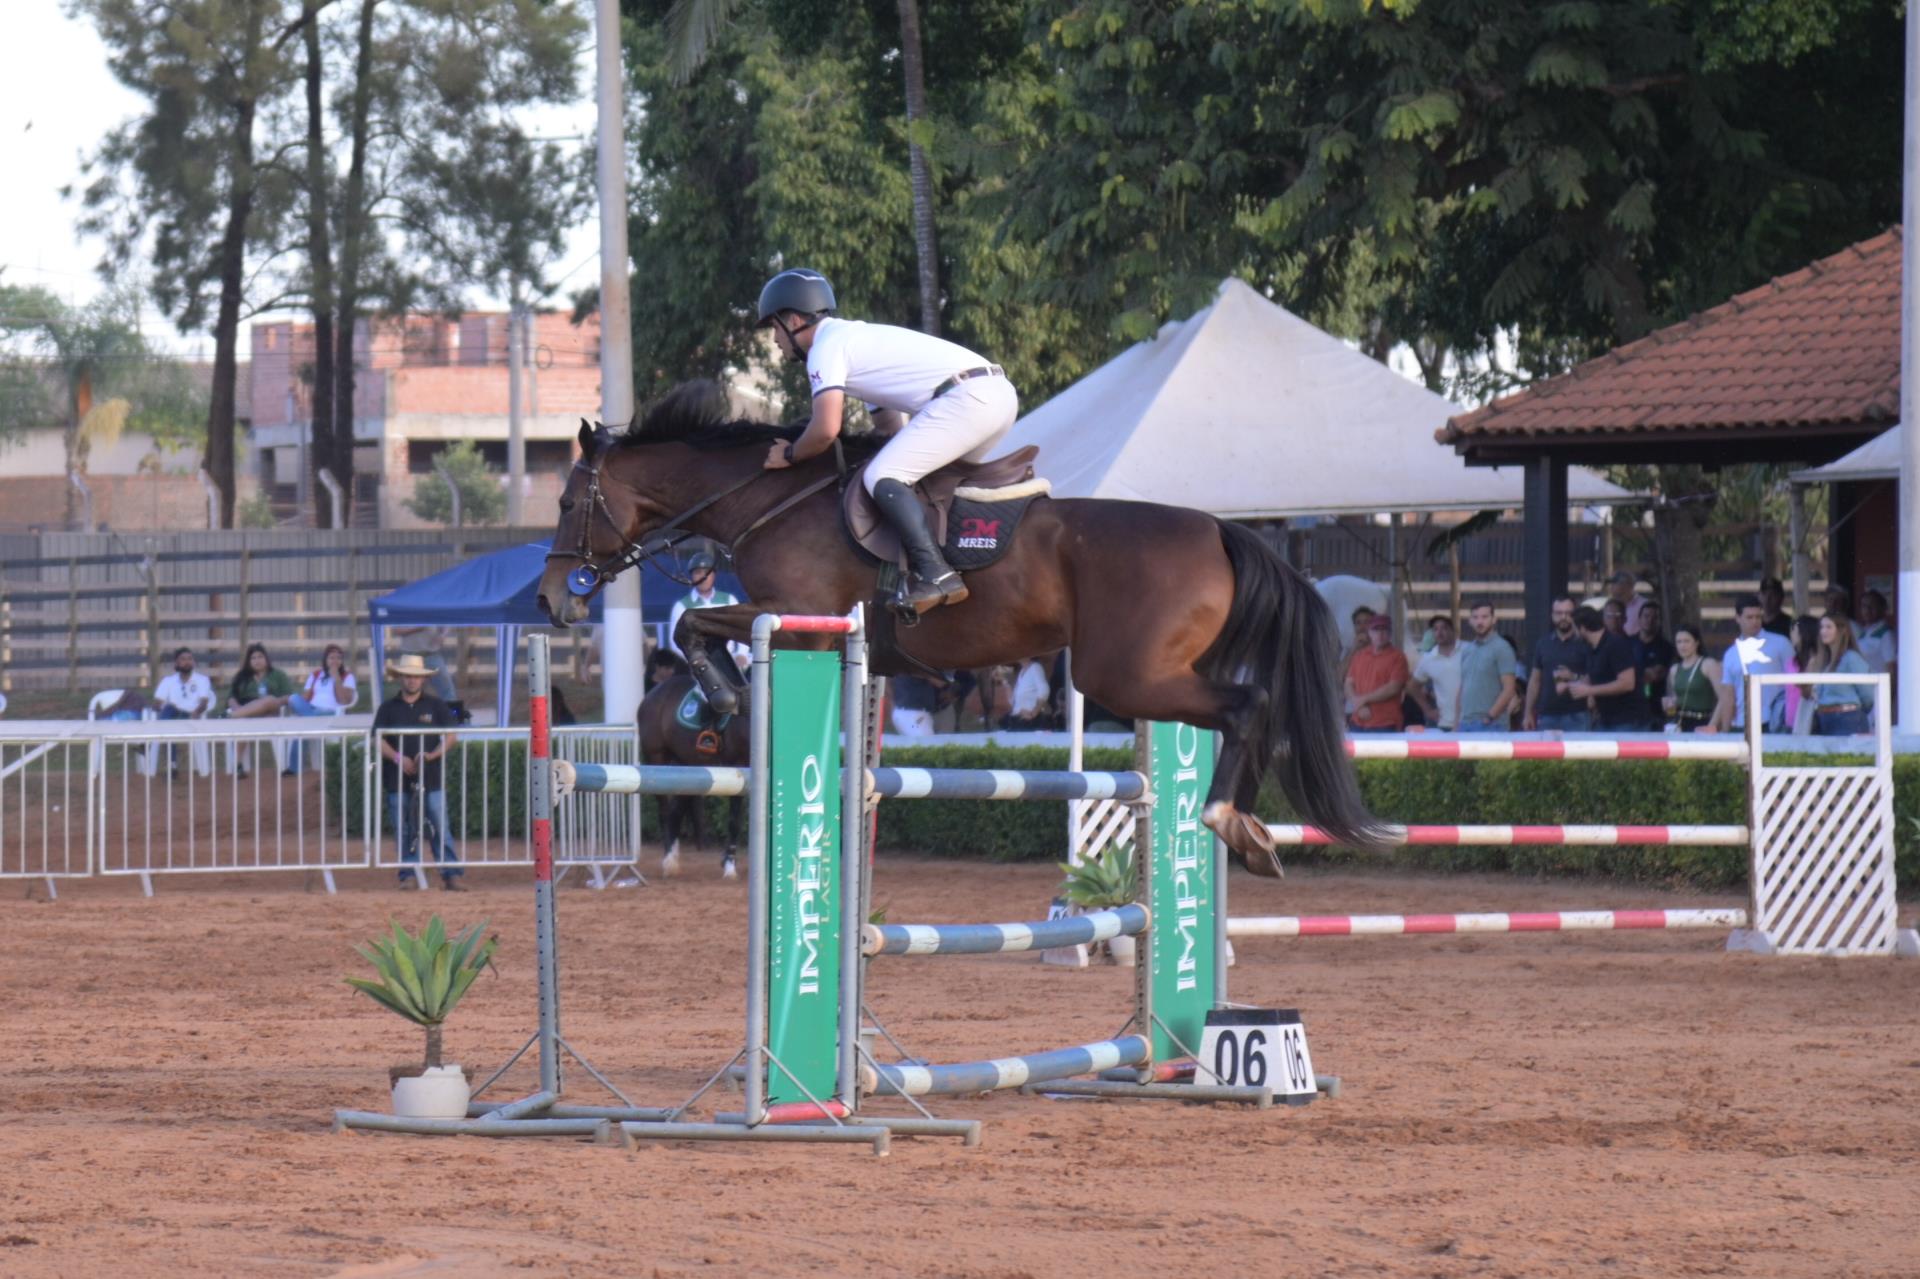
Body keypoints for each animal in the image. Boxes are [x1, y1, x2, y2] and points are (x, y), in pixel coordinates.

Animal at [537, 378, 1382, 875]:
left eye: (567, 501)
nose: (550, 600)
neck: (769, 500)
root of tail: (1218, 530)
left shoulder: (803, 621)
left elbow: (697, 624)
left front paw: (721, 692)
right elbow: (702, 626)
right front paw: (723, 693)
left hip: (1124, 674)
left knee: (1248, 705)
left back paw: (1227, 818)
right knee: (1253, 707)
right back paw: (1250, 829)